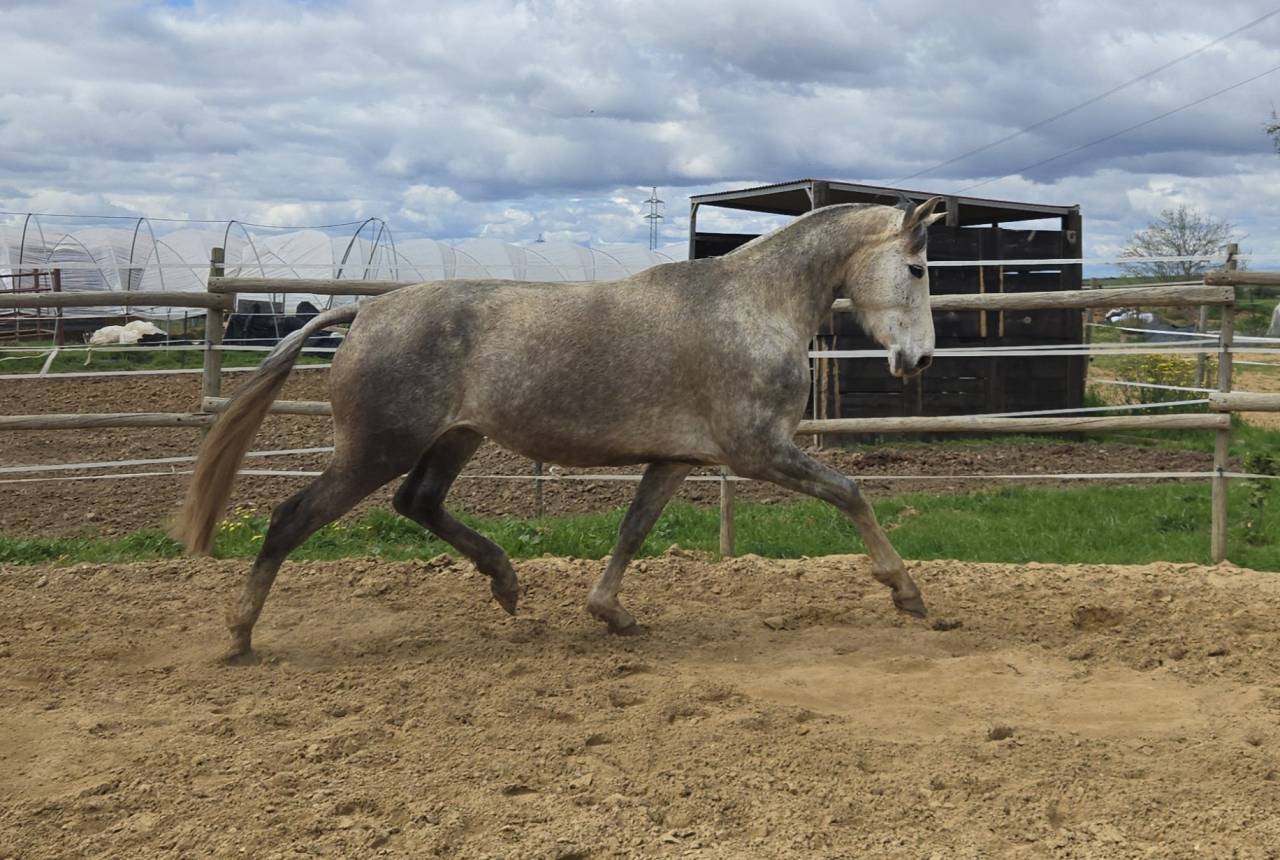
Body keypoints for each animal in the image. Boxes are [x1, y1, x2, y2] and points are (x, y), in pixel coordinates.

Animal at [175, 196, 945, 658]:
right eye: (915, 267)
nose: (920, 359)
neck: (753, 307)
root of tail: (363, 313)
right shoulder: (759, 450)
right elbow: (851, 493)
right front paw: (907, 593)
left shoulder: (676, 458)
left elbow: (632, 531)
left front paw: (611, 612)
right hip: (376, 448)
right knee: (290, 517)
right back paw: (239, 635)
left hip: (453, 439)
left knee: (417, 502)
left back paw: (506, 583)